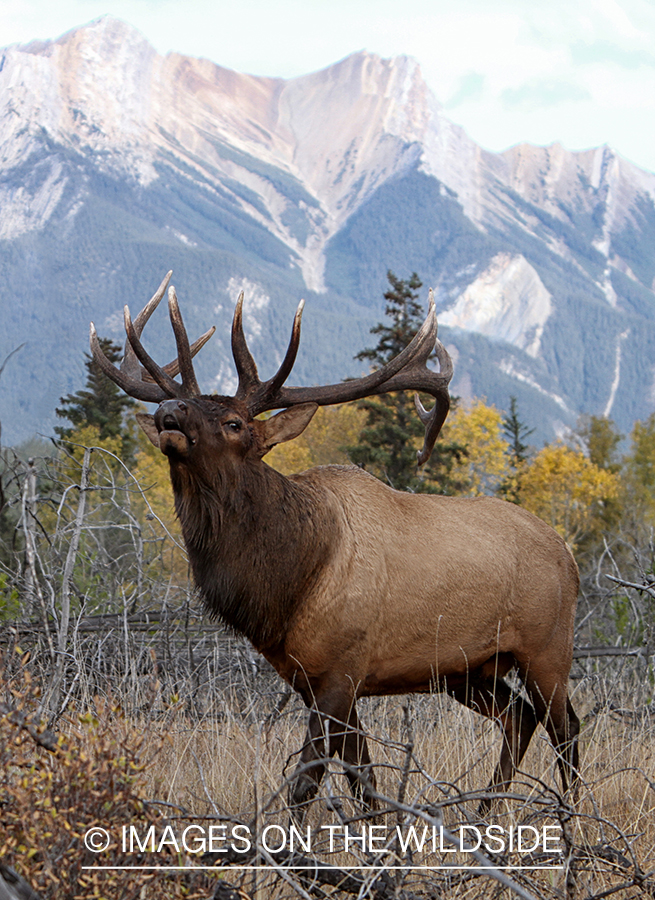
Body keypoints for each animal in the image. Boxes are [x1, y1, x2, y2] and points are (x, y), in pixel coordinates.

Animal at [91, 272, 580, 808]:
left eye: (234, 423)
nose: (169, 409)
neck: (289, 585)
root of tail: (568, 556)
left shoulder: (343, 670)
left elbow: (307, 782)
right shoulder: (310, 678)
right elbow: (363, 779)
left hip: (547, 647)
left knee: (566, 727)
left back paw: (571, 818)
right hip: (470, 669)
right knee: (519, 717)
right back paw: (483, 810)